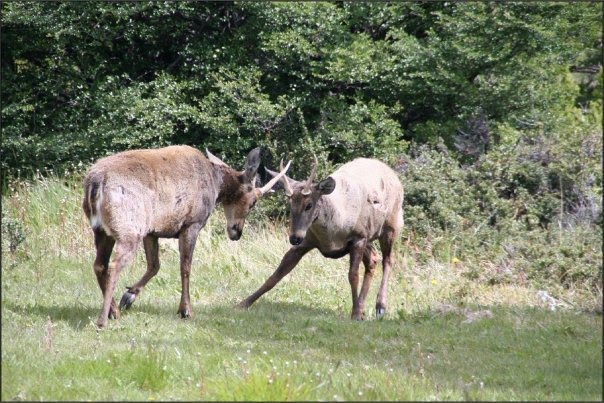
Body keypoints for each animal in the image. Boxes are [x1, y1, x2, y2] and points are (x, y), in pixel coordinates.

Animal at [84, 145, 292, 328]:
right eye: (253, 201)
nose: (236, 232)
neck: (215, 184)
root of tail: (95, 183)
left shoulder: (153, 230)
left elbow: (154, 266)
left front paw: (129, 297)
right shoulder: (192, 224)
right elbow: (185, 267)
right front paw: (186, 310)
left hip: (102, 230)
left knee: (99, 265)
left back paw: (114, 311)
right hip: (128, 227)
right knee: (113, 265)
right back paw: (103, 320)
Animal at [238, 156, 404, 320]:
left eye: (309, 205)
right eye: (290, 205)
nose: (294, 238)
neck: (332, 235)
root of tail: (394, 175)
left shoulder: (359, 237)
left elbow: (353, 275)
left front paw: (355, 314)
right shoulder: (306, 241)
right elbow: (276, 275)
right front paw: (244, 302)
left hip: (391, 226)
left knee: (388, 260)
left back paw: (380, 306)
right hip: (370, 238)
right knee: (373, 259)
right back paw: (363, 307)